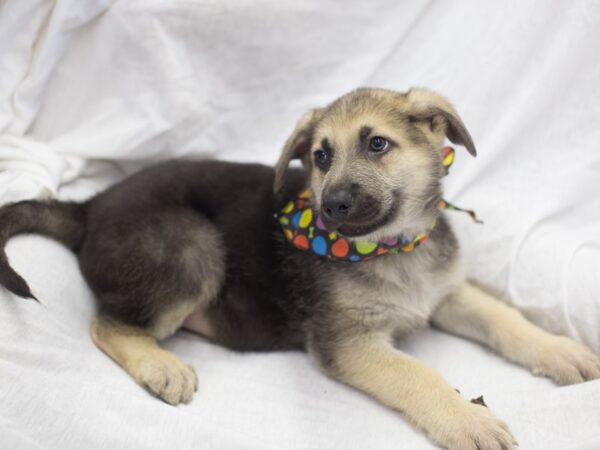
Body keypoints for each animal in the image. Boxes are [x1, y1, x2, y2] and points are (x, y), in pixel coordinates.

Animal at [1, 89, 600, 450]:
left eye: (377, 144)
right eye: (320, 156)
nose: (332, 205)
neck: (391, 248)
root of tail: (90, 207)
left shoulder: (448, 292)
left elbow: (505, 319)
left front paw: (559, 349)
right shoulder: (349, 342)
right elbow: (418, 375)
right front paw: (466, 418)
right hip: (192, 244)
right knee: (107, 323)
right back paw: (161, 365)